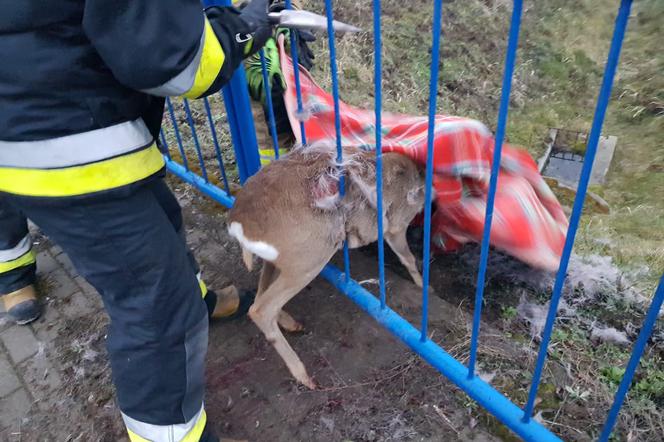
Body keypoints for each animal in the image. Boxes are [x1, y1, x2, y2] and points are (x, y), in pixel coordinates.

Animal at [228, 143, 426, 388]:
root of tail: (238, 224)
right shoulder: (396, 227)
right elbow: (408, 259)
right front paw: (424, 287)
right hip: (309, 260)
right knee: (260, 309)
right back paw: (304, 376)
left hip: (280, 262)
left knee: (260, 295)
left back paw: (292, 324)